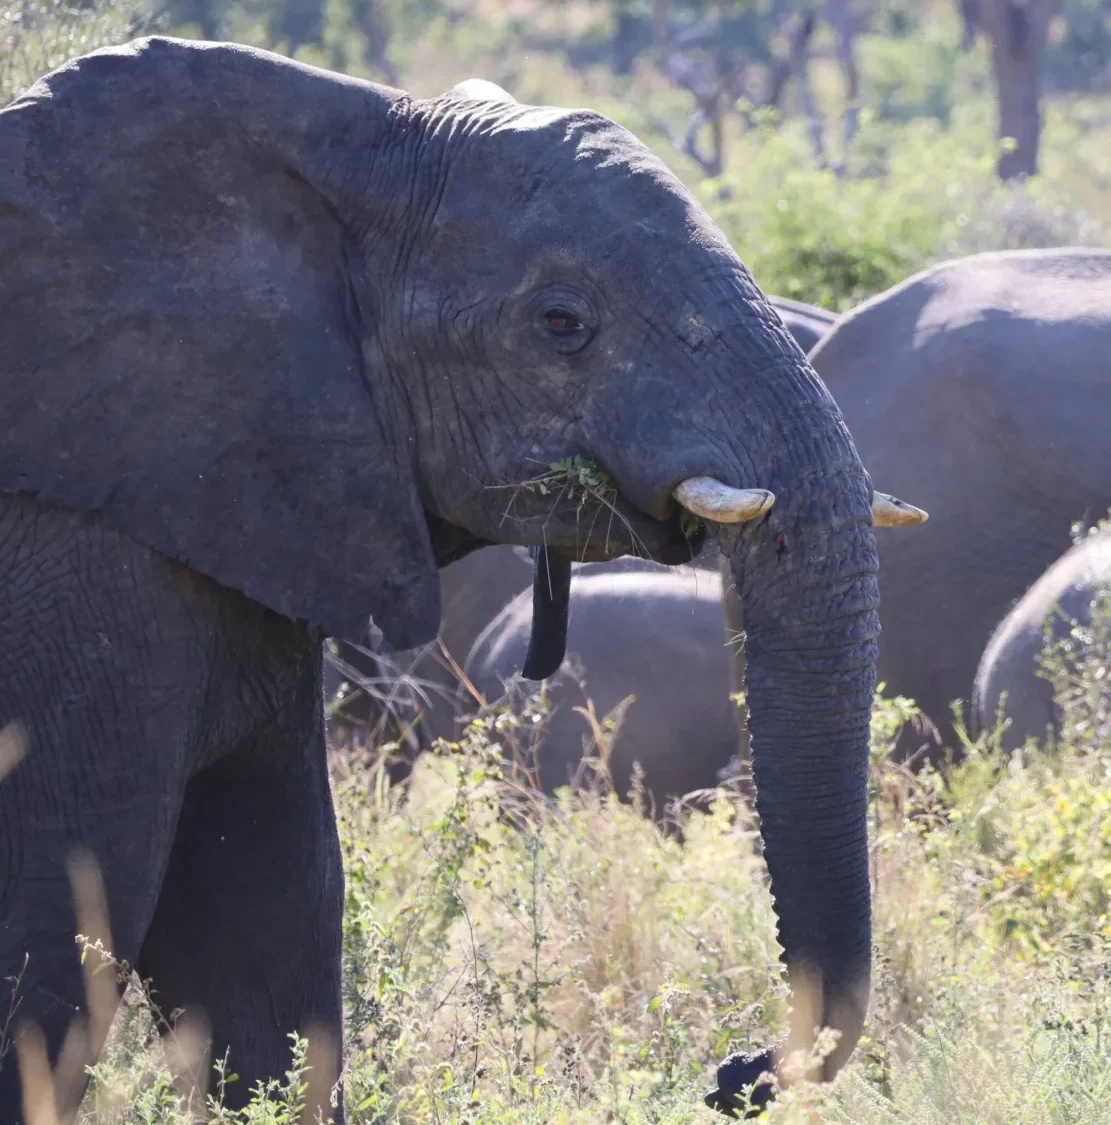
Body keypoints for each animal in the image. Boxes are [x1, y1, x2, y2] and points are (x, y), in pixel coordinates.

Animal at [0, 40, 918, 1121]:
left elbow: (265, 922)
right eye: (562, 323)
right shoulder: (74, 571)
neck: (351, 131)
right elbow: (56, 929)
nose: (729, 1071)